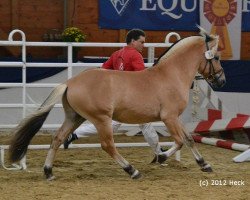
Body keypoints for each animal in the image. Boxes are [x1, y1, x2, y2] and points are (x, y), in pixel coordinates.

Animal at [9, 27, 226, 180]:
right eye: (215, 57)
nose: (221, 80)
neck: (170, 75)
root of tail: (70, 82)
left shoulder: (176, 118)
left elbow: (189, 139)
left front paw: (204, 164)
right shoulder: (169, 117)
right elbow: (180, 141)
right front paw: (161, 157)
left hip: (75, 117)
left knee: (57, 138)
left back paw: (48, 172)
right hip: (101, 119)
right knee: (108, 145)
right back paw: (132, 170)